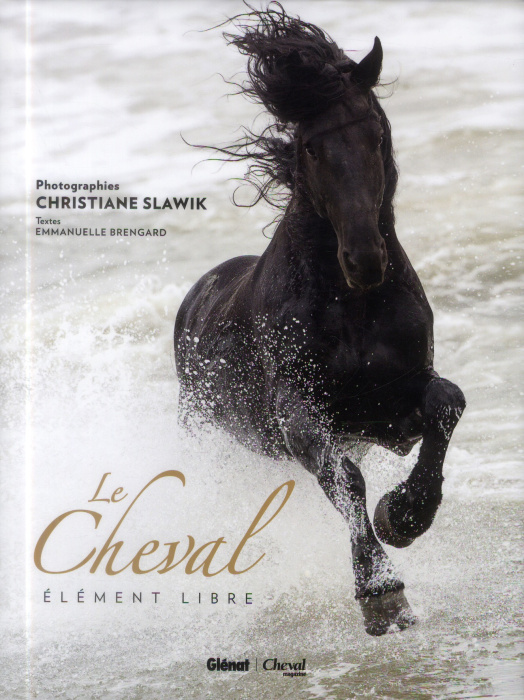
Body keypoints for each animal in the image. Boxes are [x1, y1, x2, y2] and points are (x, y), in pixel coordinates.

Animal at [174, 3, 465, 635]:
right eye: (309, 147)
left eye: (375, 133)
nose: (364, 259)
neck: (353, 306)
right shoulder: (298, 414)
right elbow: (345, 478)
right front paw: (382, 594)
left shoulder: (395, 408)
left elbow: (446, 402)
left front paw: (403, 516)